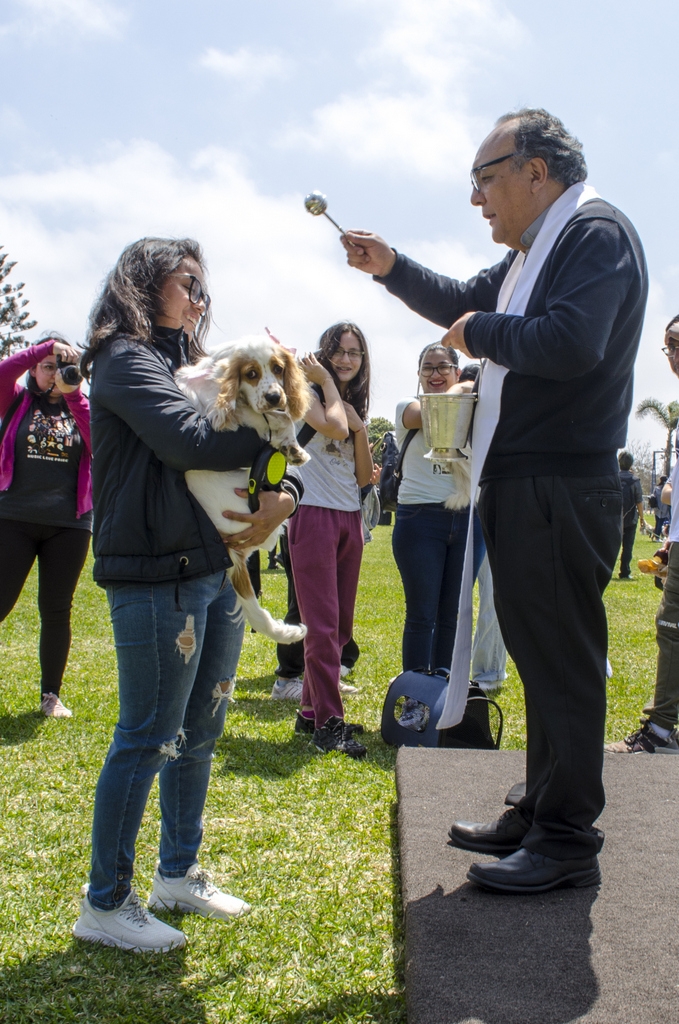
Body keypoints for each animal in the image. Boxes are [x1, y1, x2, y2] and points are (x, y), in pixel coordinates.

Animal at [175, 333, 313, 638]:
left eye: (278, 368)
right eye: (251, 374)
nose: (274, 396)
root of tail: (231, 553)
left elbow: (283, 417)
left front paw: (293, 448)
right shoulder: (224, 416)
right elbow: (275, 418)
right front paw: (288, 440)